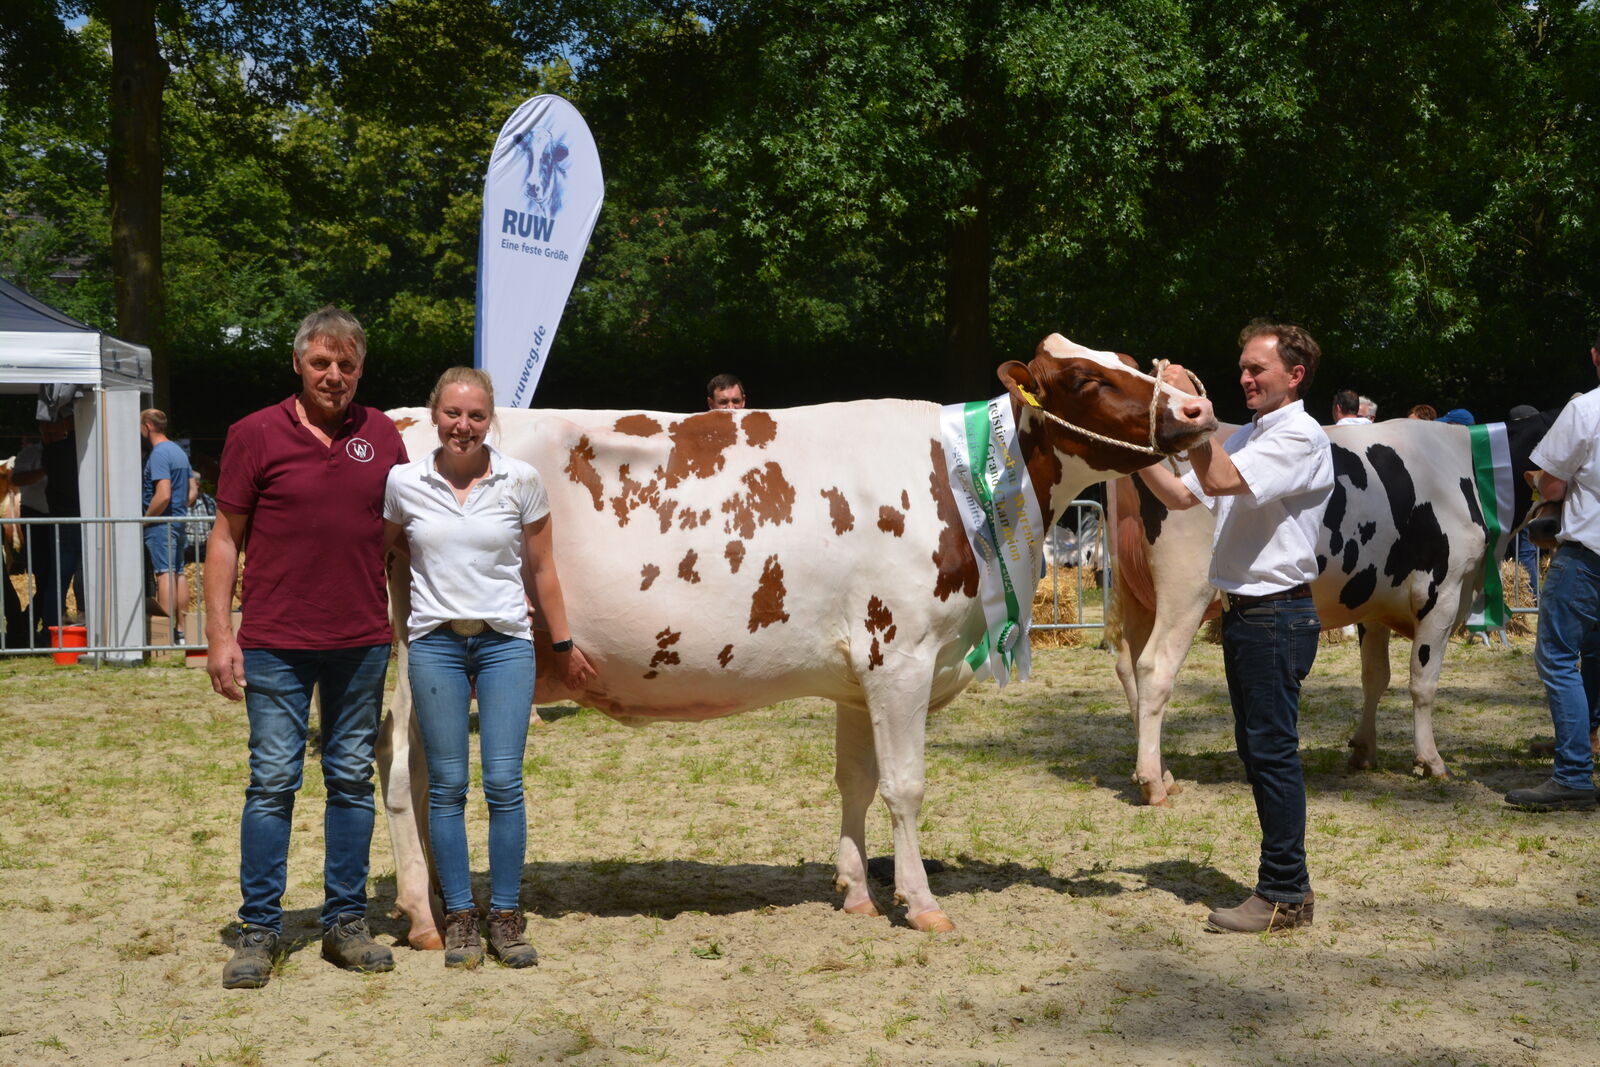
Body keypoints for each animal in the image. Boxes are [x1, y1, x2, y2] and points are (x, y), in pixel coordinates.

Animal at [380, 331, 1216, 940]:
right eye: (1085, 380)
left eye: (1129, 360)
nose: (1196, 410)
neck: (963, 478)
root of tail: (403, 415)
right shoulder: (901, 655)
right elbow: (906, 785)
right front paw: (920, 901)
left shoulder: (859, 671)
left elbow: (856, 781)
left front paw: (855, 890)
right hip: (424, 648)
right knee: (400, 770)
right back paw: (424, 914)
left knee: (418, 773)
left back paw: (430, 902)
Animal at [1113, 412, 1548, 806]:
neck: (1463, 467)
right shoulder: (1441, 593)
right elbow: (1422, 683)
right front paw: (1431, 761)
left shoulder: (1376, 603)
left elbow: (1375, 677)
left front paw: (1364, 749)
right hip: (1185, 589)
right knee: (1154, 668)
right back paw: (1152, 782)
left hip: (1137, 596)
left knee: (1128, 668)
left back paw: (1159, 771)